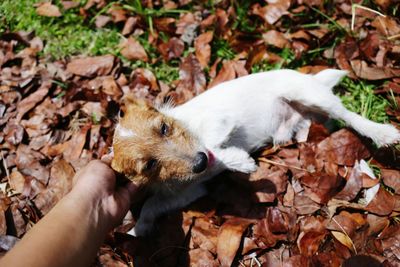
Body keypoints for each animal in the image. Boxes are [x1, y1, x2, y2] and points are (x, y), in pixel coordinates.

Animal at [110, 69, 400, 237]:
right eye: (149, 165)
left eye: (164, 128)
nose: (200, 162)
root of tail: (310, 78)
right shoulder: (190, 190)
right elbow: (151, 204)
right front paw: (137, 229)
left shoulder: (219, 122)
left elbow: (215, 148)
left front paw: (240, 162)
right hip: (299, 128)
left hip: (308, 94)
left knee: (348, 115)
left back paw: (382, 133)